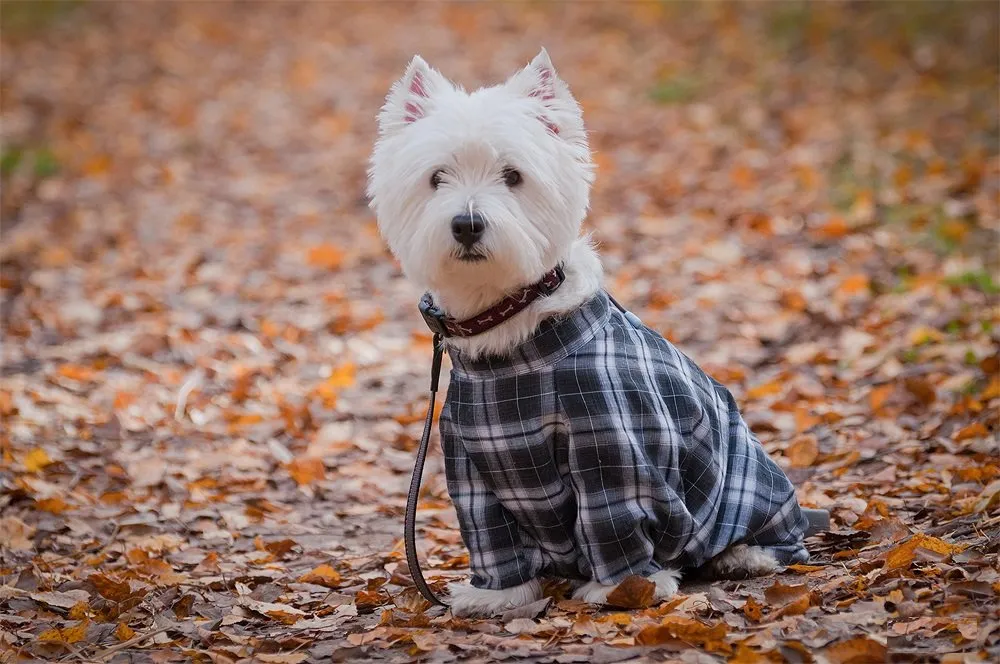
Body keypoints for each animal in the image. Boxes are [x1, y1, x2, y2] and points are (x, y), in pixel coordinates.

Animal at [368, 50, 812, 616]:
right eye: (436, 177)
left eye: (512, 175)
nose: (467, 225)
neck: (512, 334)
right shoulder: (472, 465)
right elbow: (492, 536)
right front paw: (495, 595)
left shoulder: (611, 447)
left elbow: (616, 518)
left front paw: (624, 587)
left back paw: (741, 556)